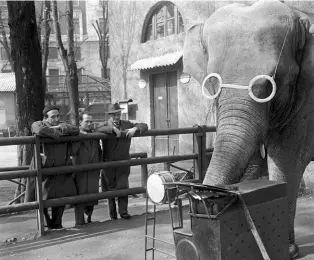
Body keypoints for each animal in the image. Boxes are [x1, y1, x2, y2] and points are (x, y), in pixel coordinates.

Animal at [183, 0, 314, 258]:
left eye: (275, 80)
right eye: (211, 82)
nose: (203, 198)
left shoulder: (307, 99)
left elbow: (286, 160)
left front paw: (288, 251)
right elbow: (254, 162)